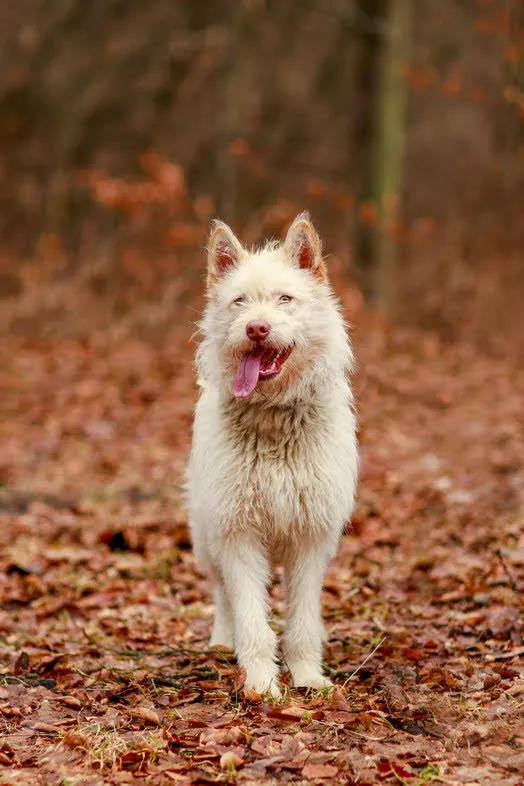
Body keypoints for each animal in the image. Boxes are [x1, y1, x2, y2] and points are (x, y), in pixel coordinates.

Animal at [186, 211, 358, 696]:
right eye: (240, 302)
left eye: (285, 299)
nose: (256, 328)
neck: (274, 416)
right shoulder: (238, 534)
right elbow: (250, 618)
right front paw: (261, 684)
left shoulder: (310, 539)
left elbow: (301, 621)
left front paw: (307, 676)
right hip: (207, 538)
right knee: (222, 596)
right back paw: (221, 642)